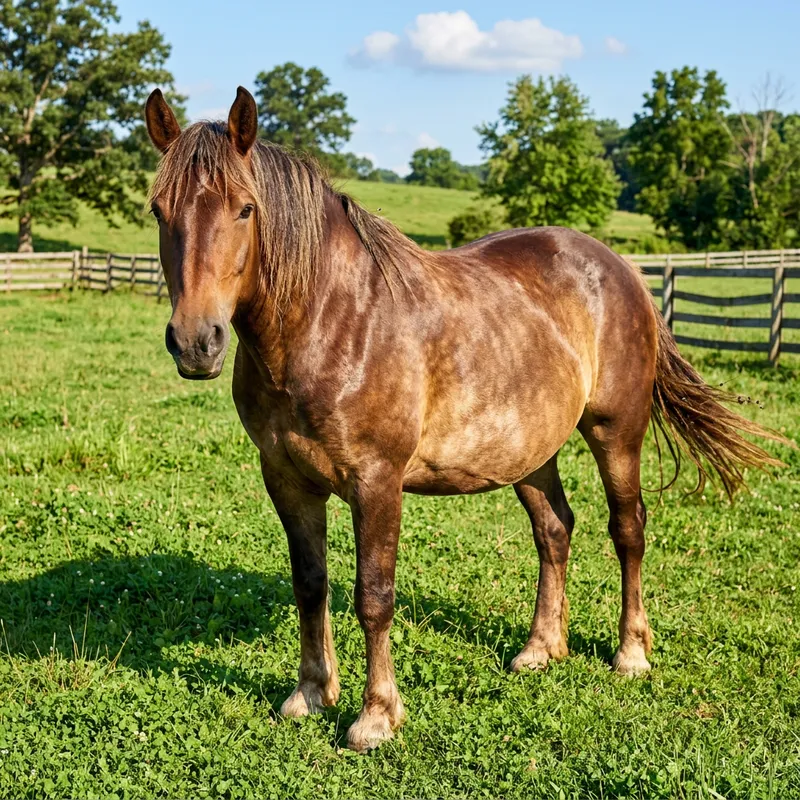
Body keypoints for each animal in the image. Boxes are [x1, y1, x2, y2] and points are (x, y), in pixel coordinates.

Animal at [144, 86, 783, 752]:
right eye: (159, 211)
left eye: (245, 209)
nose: (196, 342)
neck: (328, 320)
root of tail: (622, 268)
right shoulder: (288, 481)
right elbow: (311, 585)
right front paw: (311, 694)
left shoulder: (376, 482)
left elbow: (373, 596)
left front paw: (376, 717)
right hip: (530, 450)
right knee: (554, 530)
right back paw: (540, 649)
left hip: (616, 432)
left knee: (628, 529)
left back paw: (630, 653)